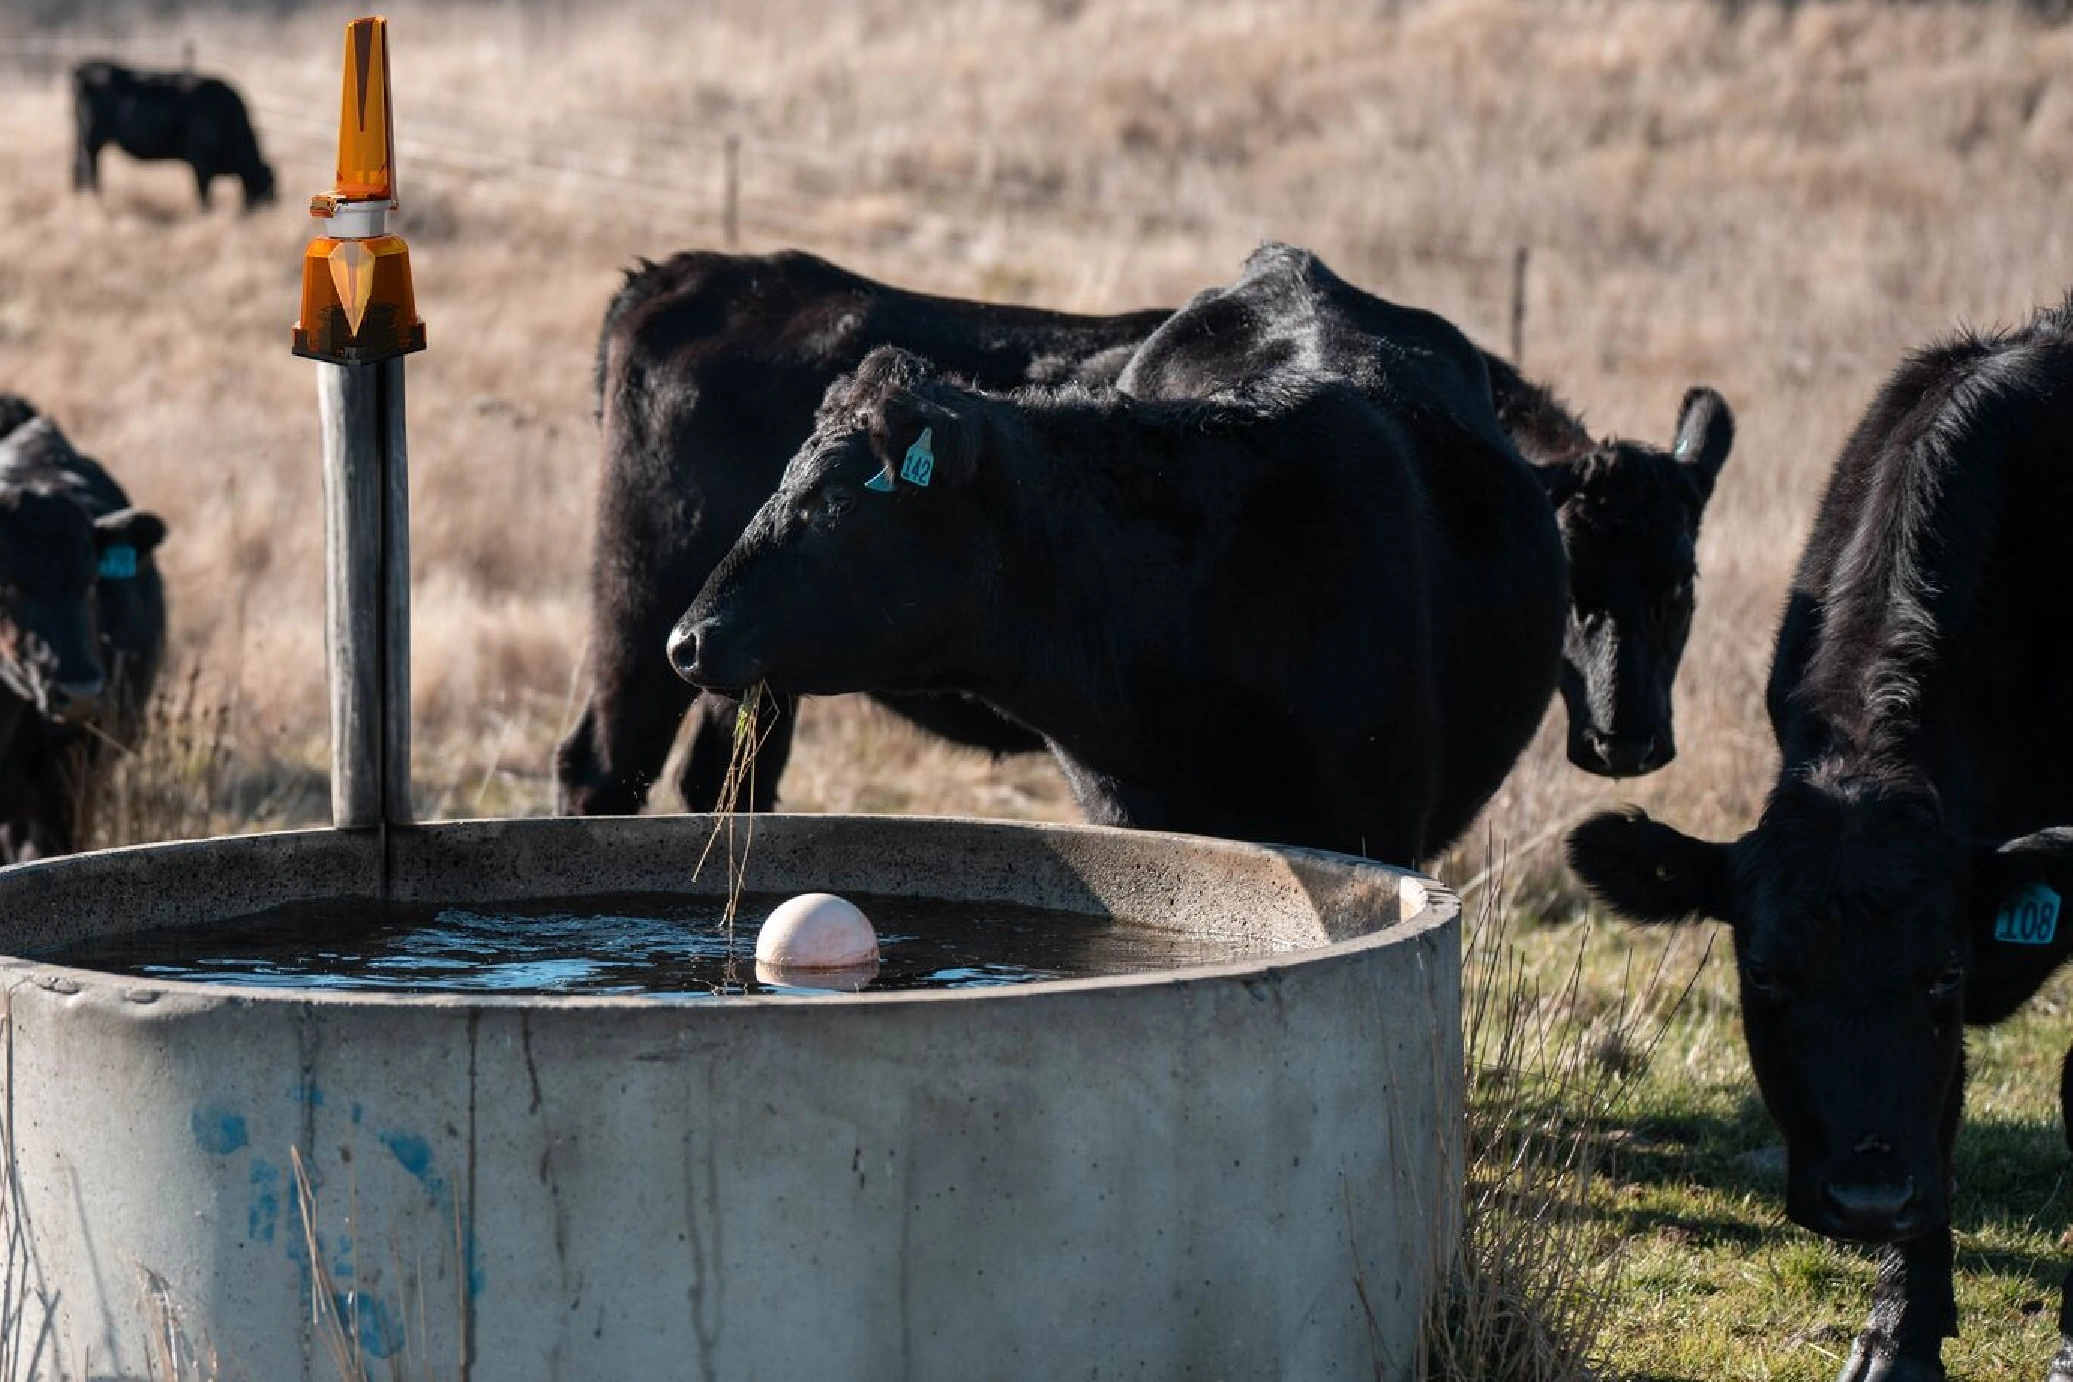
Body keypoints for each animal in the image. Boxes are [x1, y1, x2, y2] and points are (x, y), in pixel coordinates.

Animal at [73, 60, 276, 212]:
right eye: (268, 188)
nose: (268, 216)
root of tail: (87, 68)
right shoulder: (201, 165)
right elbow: (204, 199)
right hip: (92, 141)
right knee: (91, 170)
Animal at [555, 247, 1732, 817]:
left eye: (1682, 586)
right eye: (1581, 585)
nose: (1629, 741)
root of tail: (687, 274)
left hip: (738, 672)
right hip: (640, 613)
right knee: (600, 768)